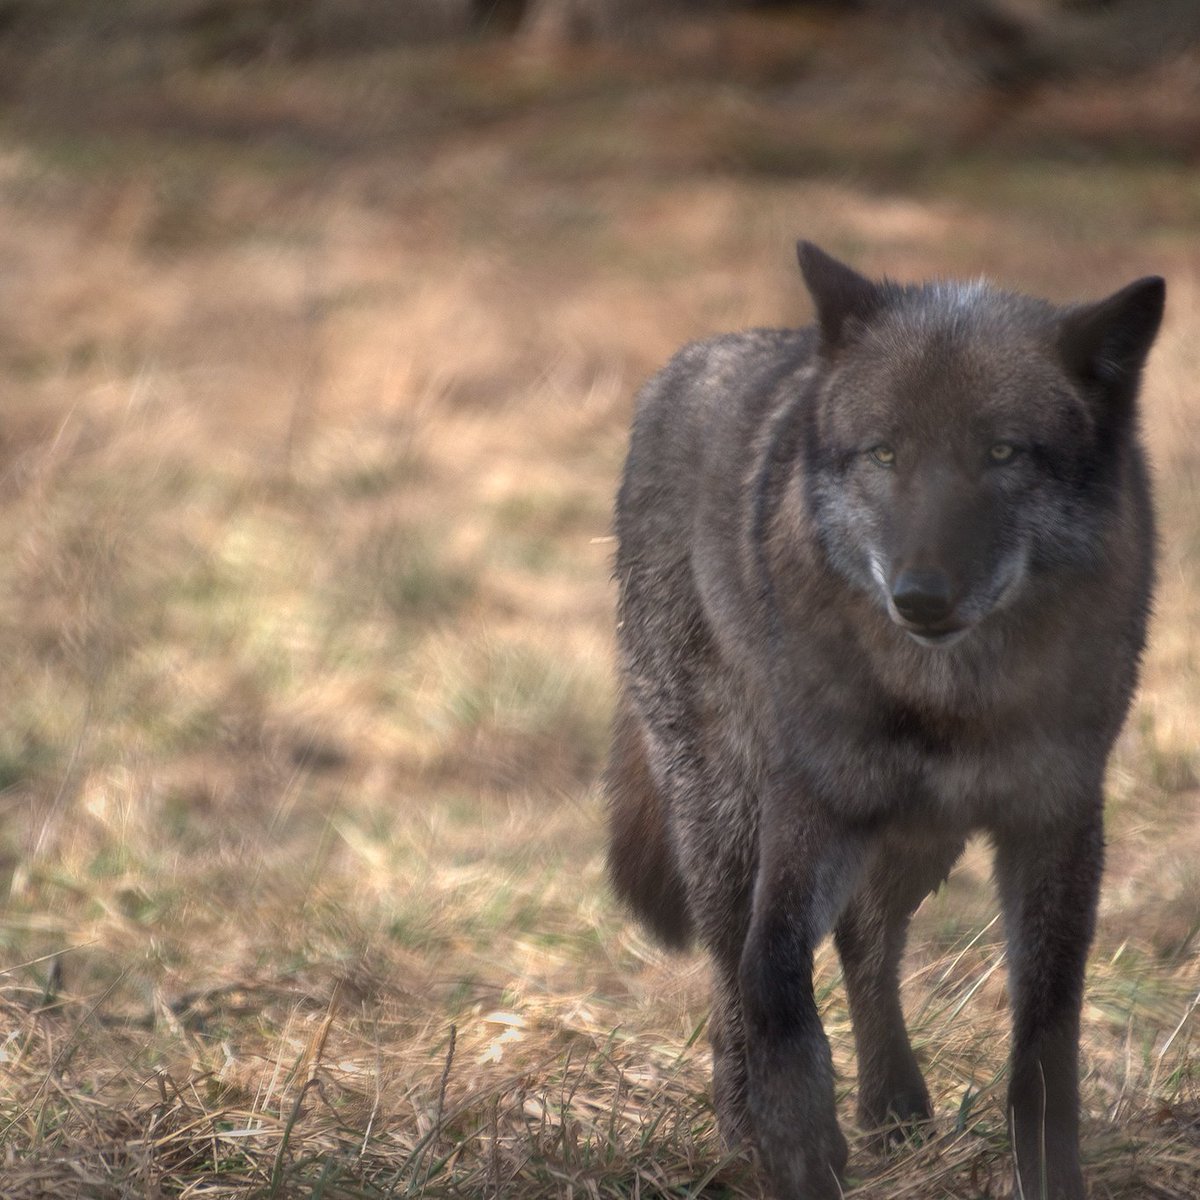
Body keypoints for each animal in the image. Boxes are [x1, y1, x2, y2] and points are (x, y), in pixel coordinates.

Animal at [607, 243, 1164, 1200]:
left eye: (1002, 452)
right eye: (885, 453)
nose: (921, 596)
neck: (947, 696)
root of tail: (678, 369)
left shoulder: (1055, 820)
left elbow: (1045, 1036)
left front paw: (1047, 1172)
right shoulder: (812, 805)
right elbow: (769, 972)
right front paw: (797, 1149)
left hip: (923, 834)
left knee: (867, 940)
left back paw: (894, 1110)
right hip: (729, 820)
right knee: (733, 968)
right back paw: (743, 1138)